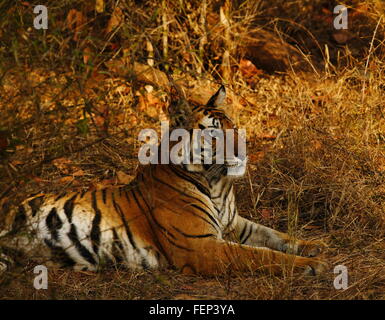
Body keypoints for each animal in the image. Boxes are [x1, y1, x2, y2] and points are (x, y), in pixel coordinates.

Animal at [0, 85, 328, 276]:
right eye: (214, 132)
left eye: (233, 125)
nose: (245, 149)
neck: (216, 181)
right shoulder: (202, 247)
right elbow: (261, 256)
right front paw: (311, 265)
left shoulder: (235, 224)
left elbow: (275, 236)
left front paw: (314, 246)